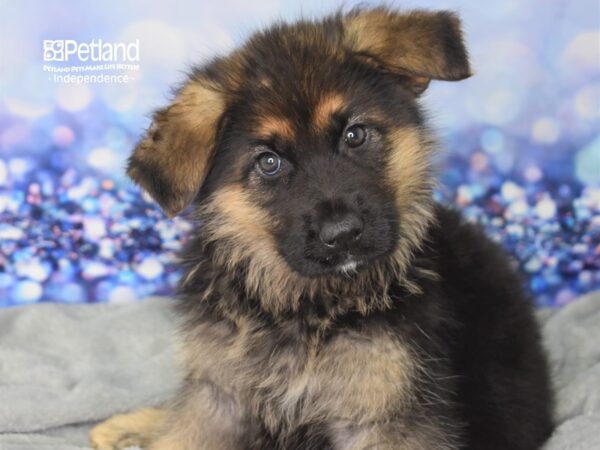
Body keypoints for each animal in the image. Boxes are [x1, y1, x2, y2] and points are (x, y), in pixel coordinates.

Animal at [90, 7, 552, 450]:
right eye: (269, 162)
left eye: (355, 135)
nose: (342, 234)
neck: (302, 308)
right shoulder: (218, 398)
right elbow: (183, 433)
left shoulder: (385, 417)